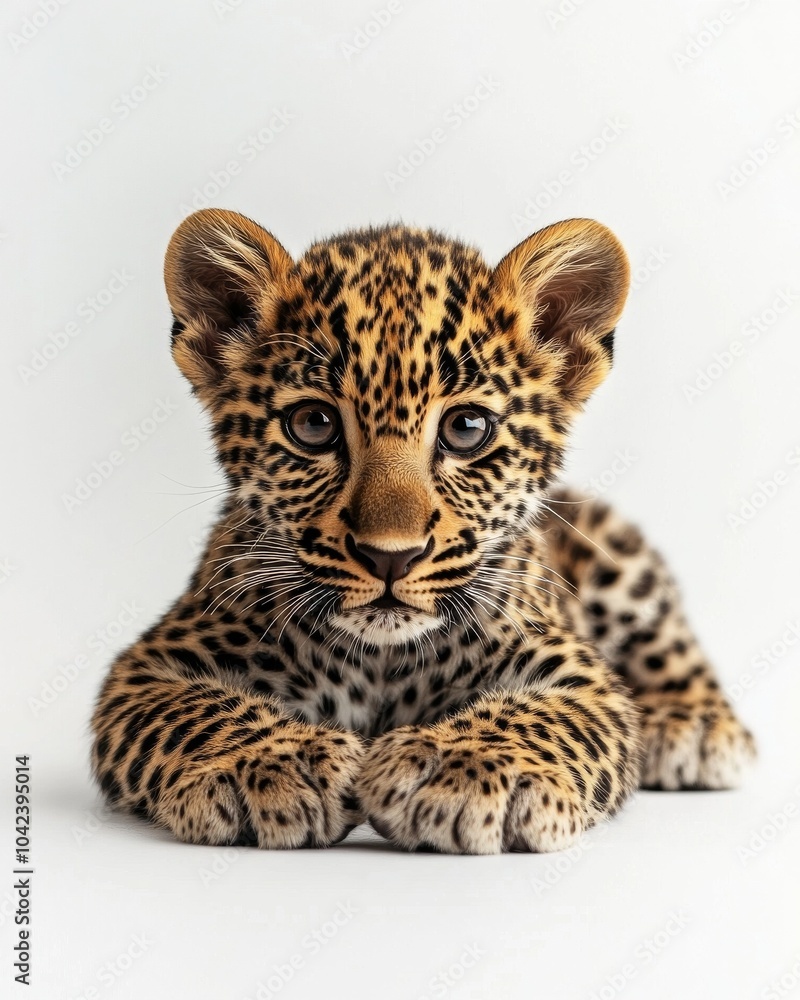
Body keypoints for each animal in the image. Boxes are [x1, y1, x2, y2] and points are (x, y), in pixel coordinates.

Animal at [90, 208, 756, 854]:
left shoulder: (581, 677)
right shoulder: (148, 668)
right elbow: (197, 711)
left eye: (466, 428)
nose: (391, 557)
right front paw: (279, 764)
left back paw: (692, 725)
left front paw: (461, 771)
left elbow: (545, 717)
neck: (383, 660)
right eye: (313, 424)